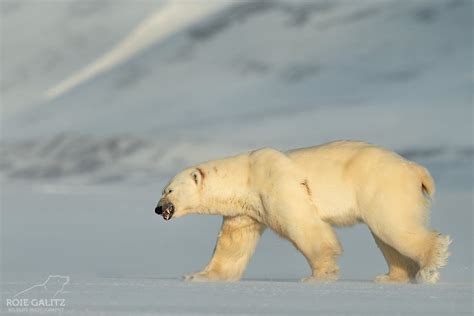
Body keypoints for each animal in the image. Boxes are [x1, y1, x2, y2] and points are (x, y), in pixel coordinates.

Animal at [155, 141, 452, 284]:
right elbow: (232, 245)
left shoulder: (275, 183)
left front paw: (317, 276)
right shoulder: (245, 212)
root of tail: (415, 169)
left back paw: (428, 267)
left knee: (393, 226)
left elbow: (304, 226)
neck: (245, 177)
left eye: (169, 190)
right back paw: (391, 277)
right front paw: (196, 275)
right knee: (386, 238)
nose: (158, 209)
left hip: (381, 187)